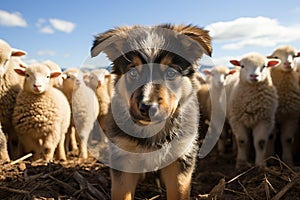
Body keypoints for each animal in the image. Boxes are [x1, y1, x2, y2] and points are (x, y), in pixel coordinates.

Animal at [91, 24, 211, 199]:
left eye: (170, 73)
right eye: (133, 73)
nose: (148, 107)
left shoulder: (180, 159)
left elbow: (178, 192)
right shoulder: (123, 158)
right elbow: (122, 193)